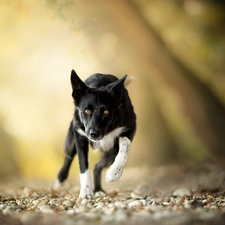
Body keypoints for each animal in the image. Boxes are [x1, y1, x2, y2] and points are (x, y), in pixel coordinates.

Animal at [54, 70, 135, 199]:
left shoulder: (129, 127)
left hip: (111, 151)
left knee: (98, 166)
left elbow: (123, 153)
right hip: (73, 141)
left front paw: (114, 173)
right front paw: (86, 192)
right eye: (86, 111)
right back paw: (60, 179)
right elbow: (83, 165)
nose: (94, 134)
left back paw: (98, 189)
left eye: (106, 112)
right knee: (69, 157)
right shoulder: (80, 136)